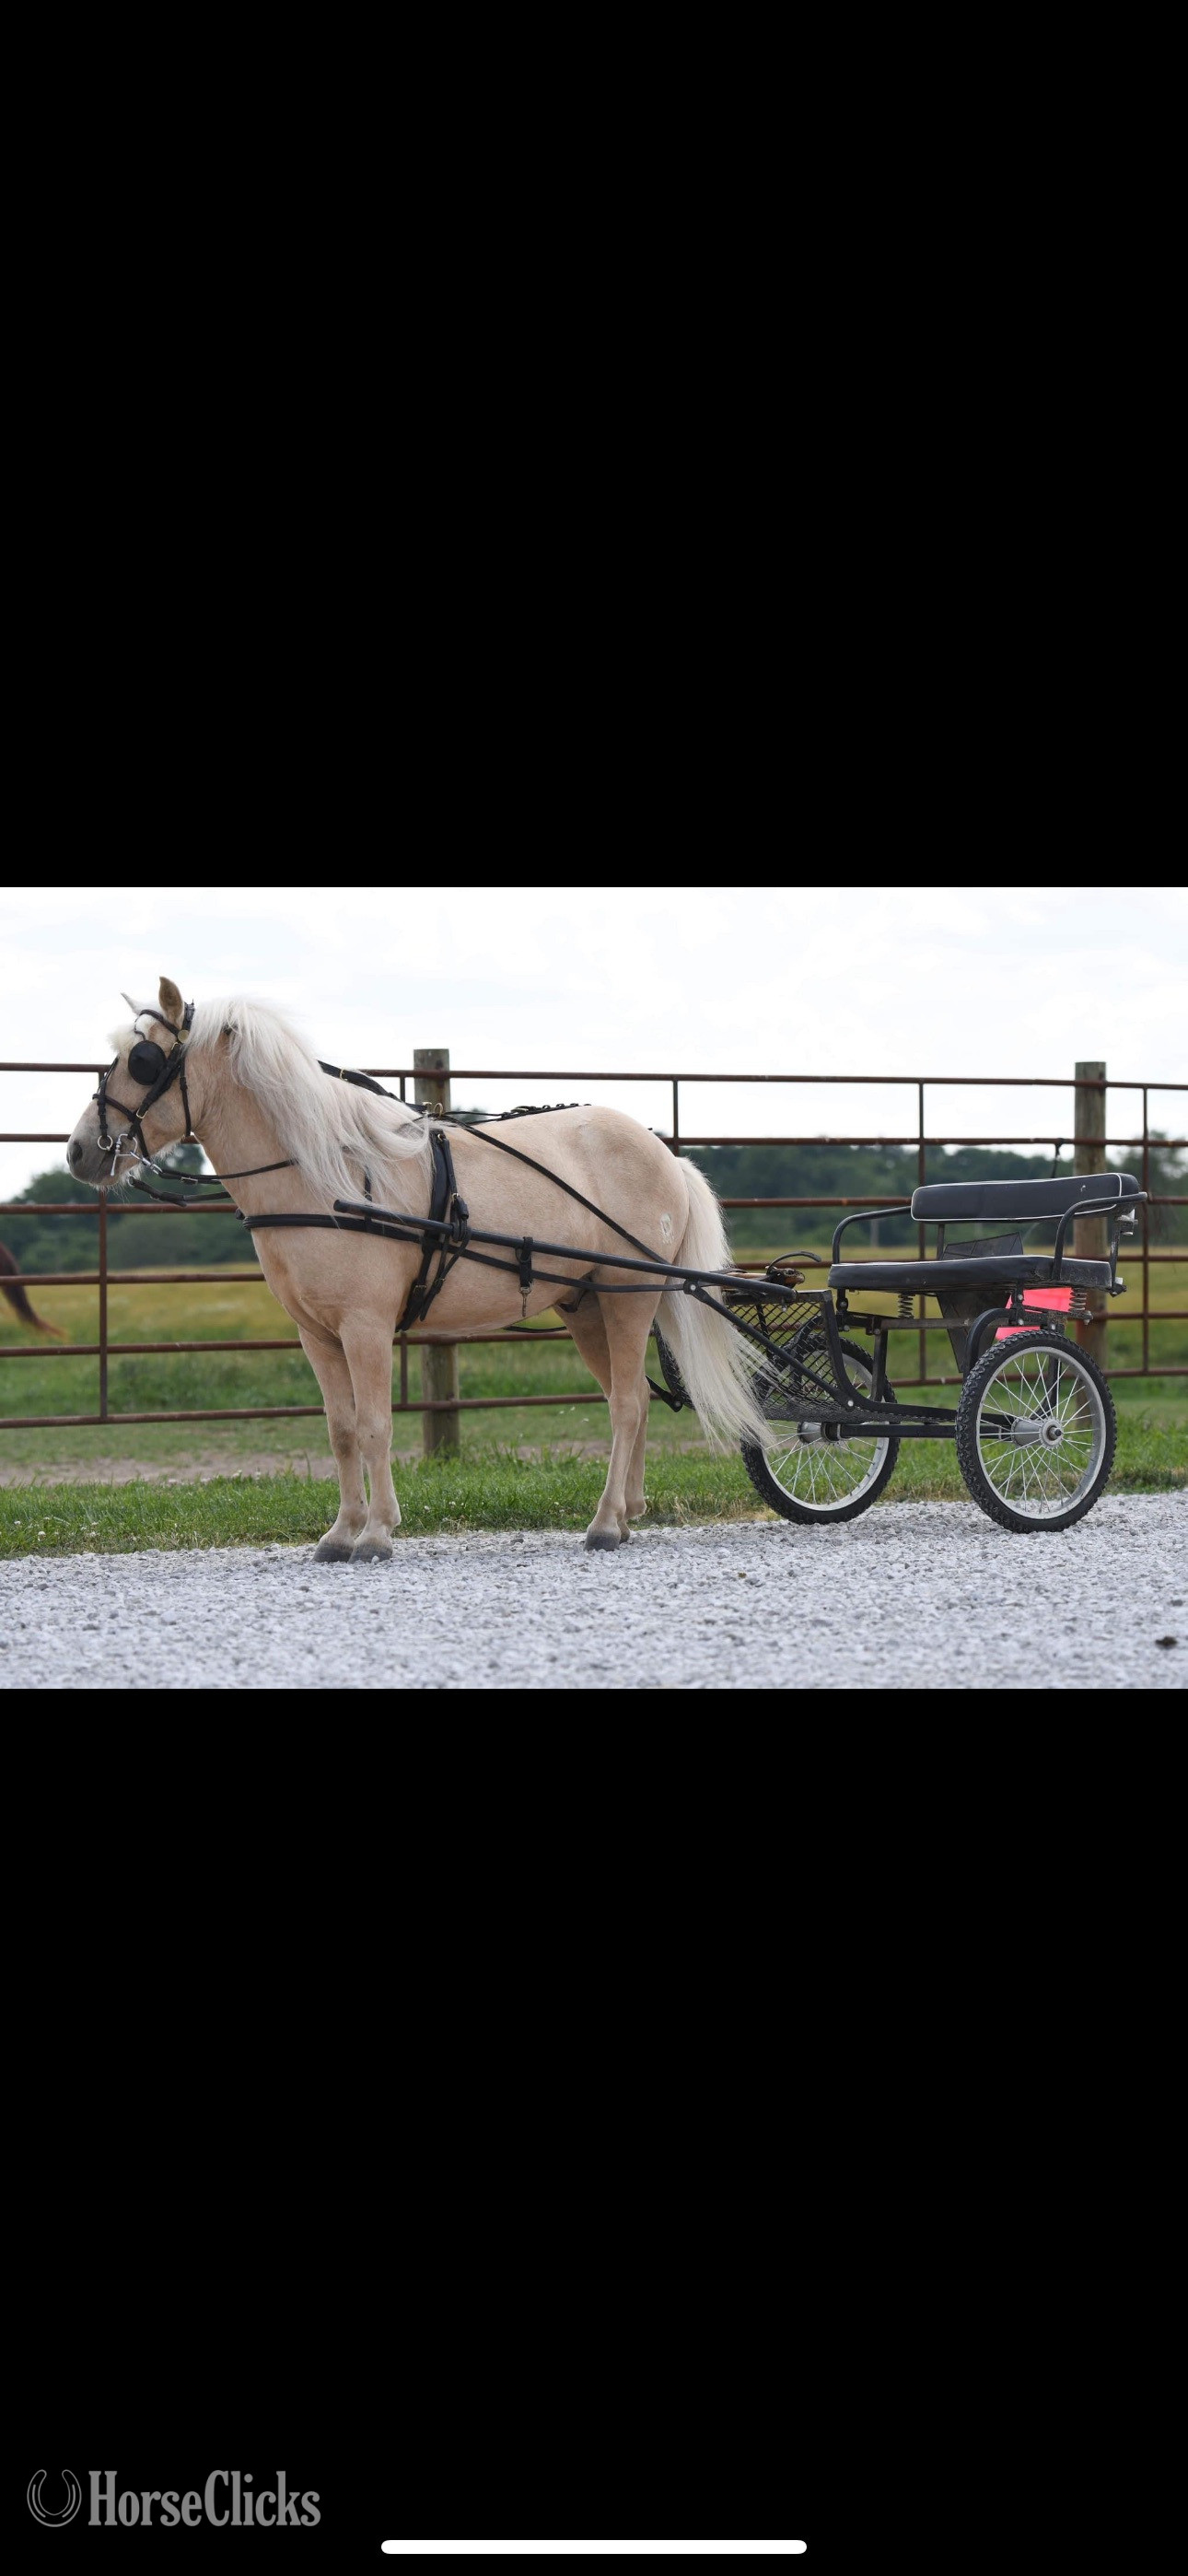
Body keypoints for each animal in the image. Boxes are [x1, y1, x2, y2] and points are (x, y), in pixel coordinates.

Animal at [65, 978, 765, 1560]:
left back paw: (602, 1523)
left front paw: (377, 1533)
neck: (327, 1177)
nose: (77, 1153)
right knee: (637, 1401)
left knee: (623, 1405)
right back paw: (625, 1514)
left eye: (143, 1060)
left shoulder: (366, 1327)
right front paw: (341, 1532)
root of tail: (664, 1151)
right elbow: (342, 1429)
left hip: (627, 1298)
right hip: (586, 1305)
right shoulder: (316, 1336)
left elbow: (375, 1425)